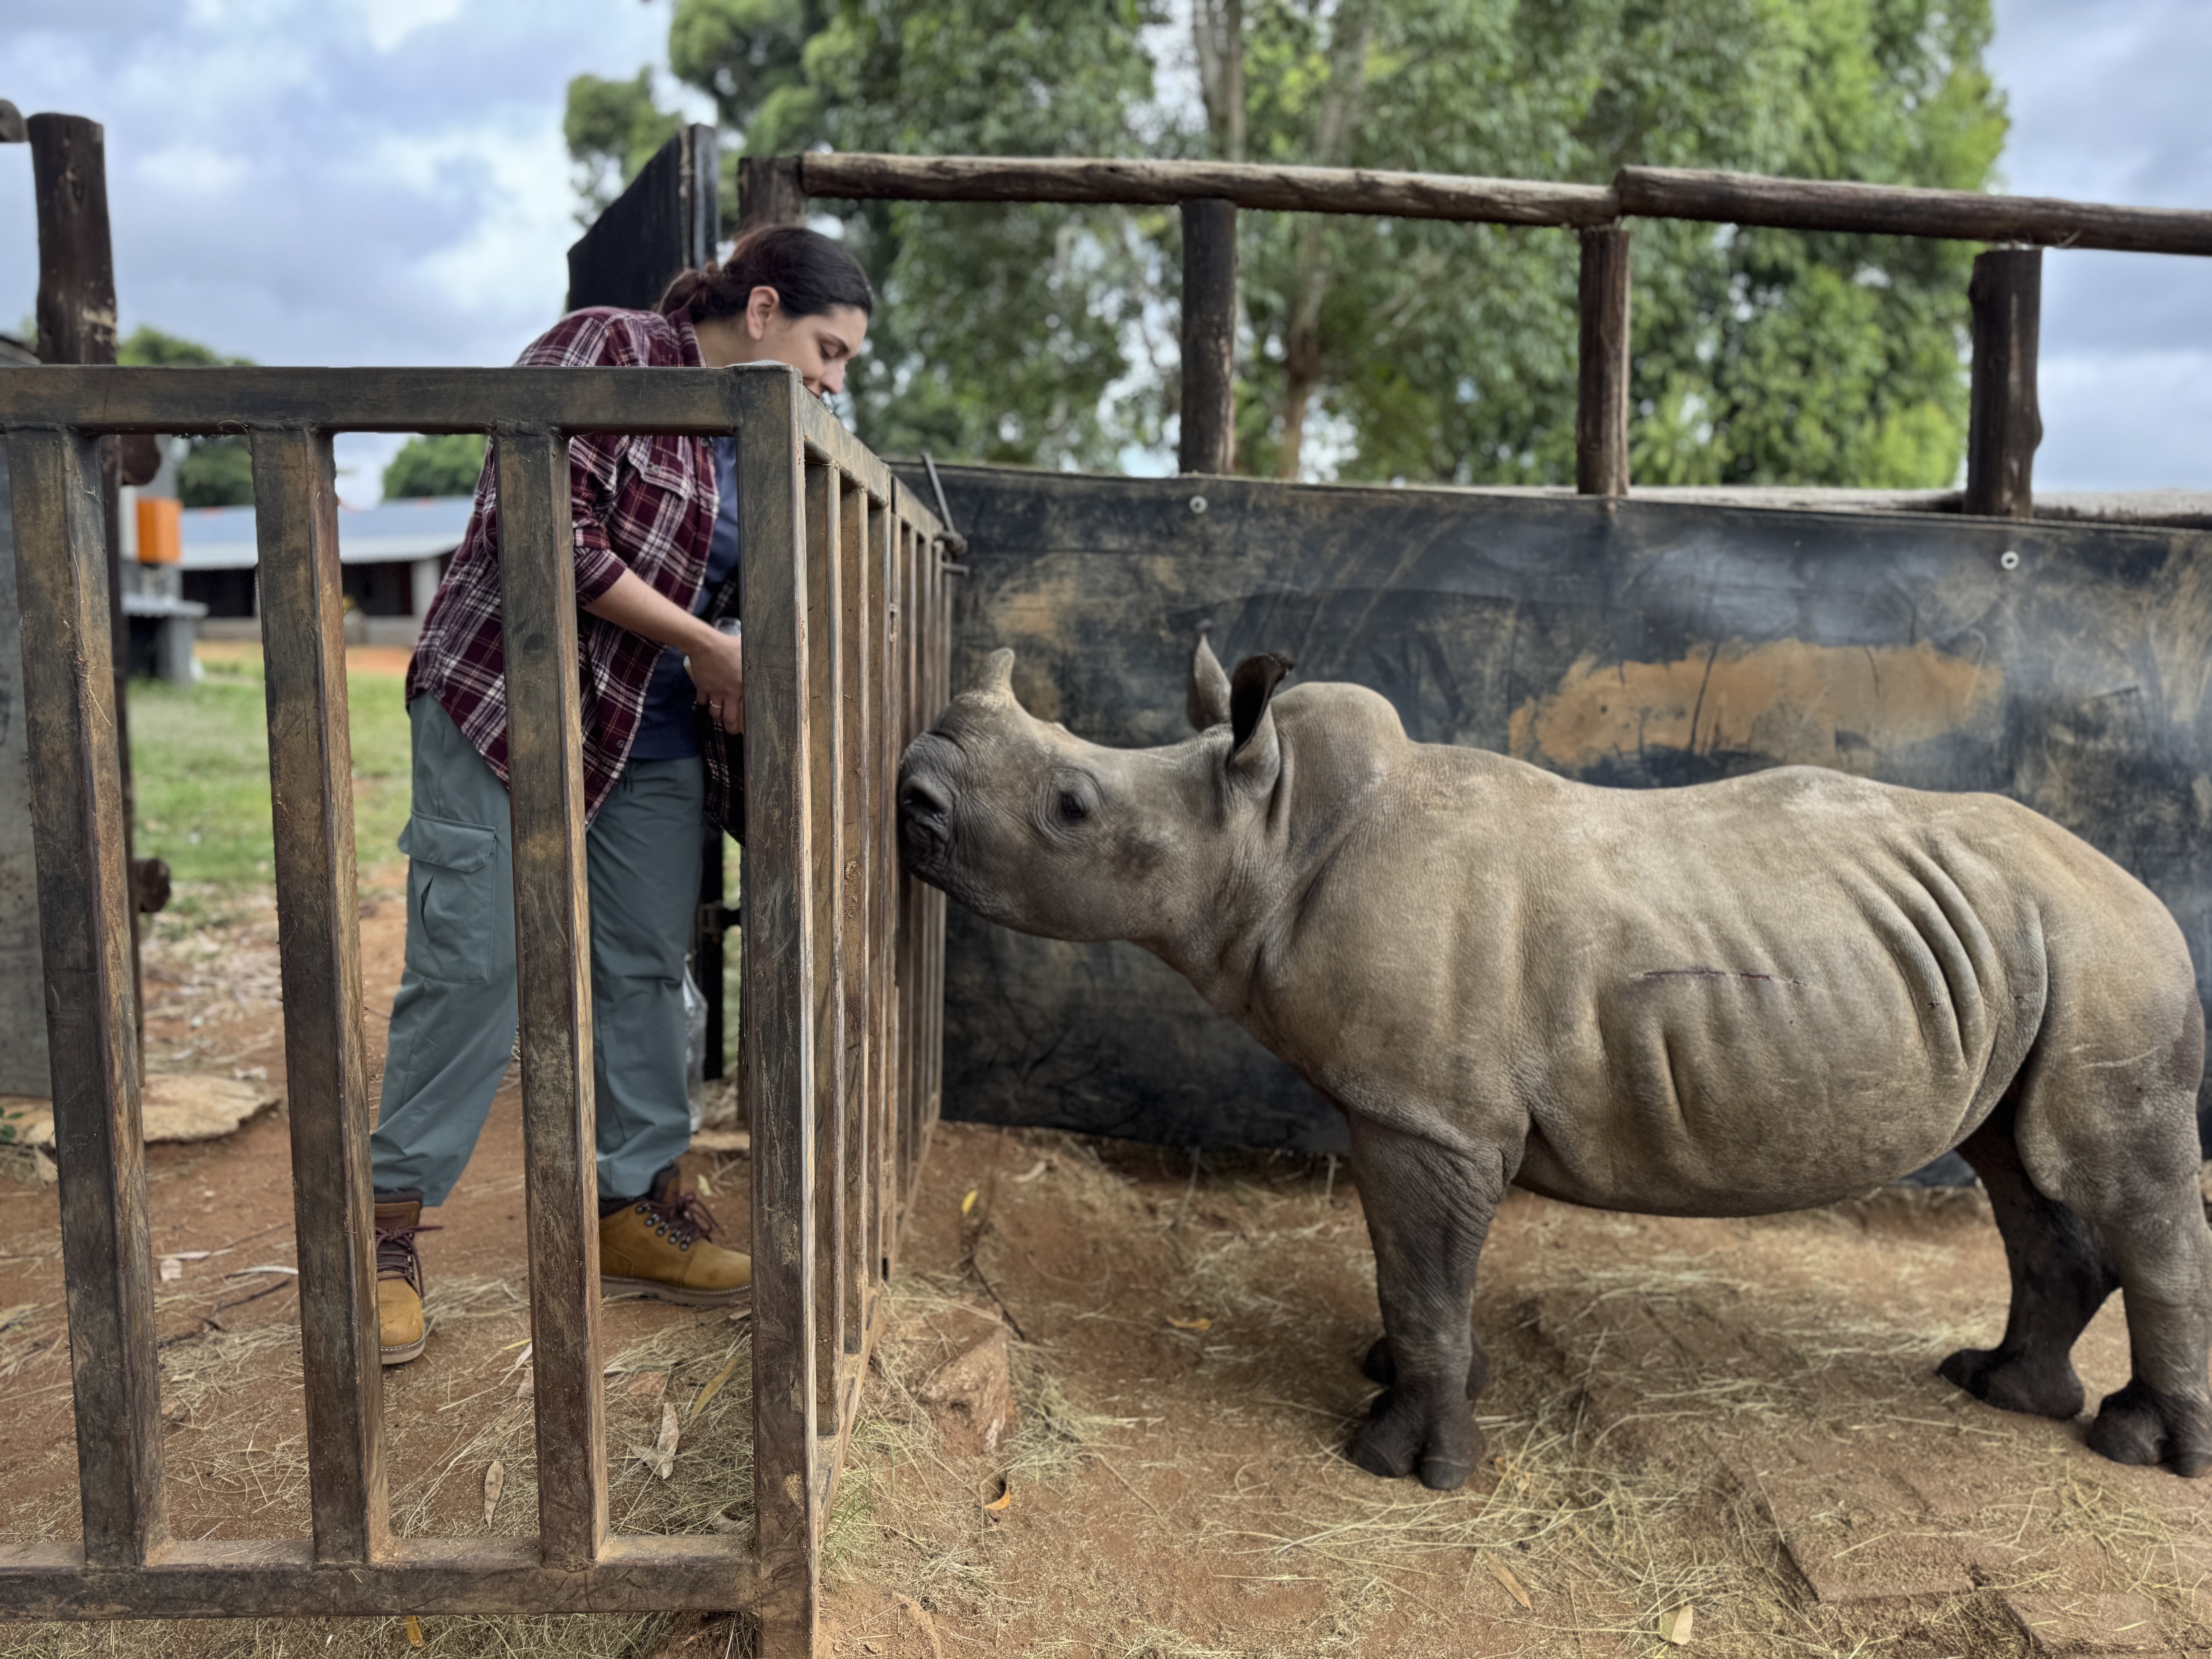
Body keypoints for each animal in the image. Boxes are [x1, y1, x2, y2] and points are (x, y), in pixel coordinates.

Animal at [895, 633, 2212, 1490]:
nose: (910, 794)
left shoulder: (1424, 1115)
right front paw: (1405, 1385)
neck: (1267, 835)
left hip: (2111, 952)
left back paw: (2140, 1449)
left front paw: (1401, 1462)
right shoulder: (1426, 1112)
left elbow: (1420, 1280)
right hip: (2024, 953)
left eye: (1072, 805)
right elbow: (1425, 1283)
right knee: (2017, 1165)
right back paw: (1995, 1388)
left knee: (2115, 1176)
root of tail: (2148, 895)